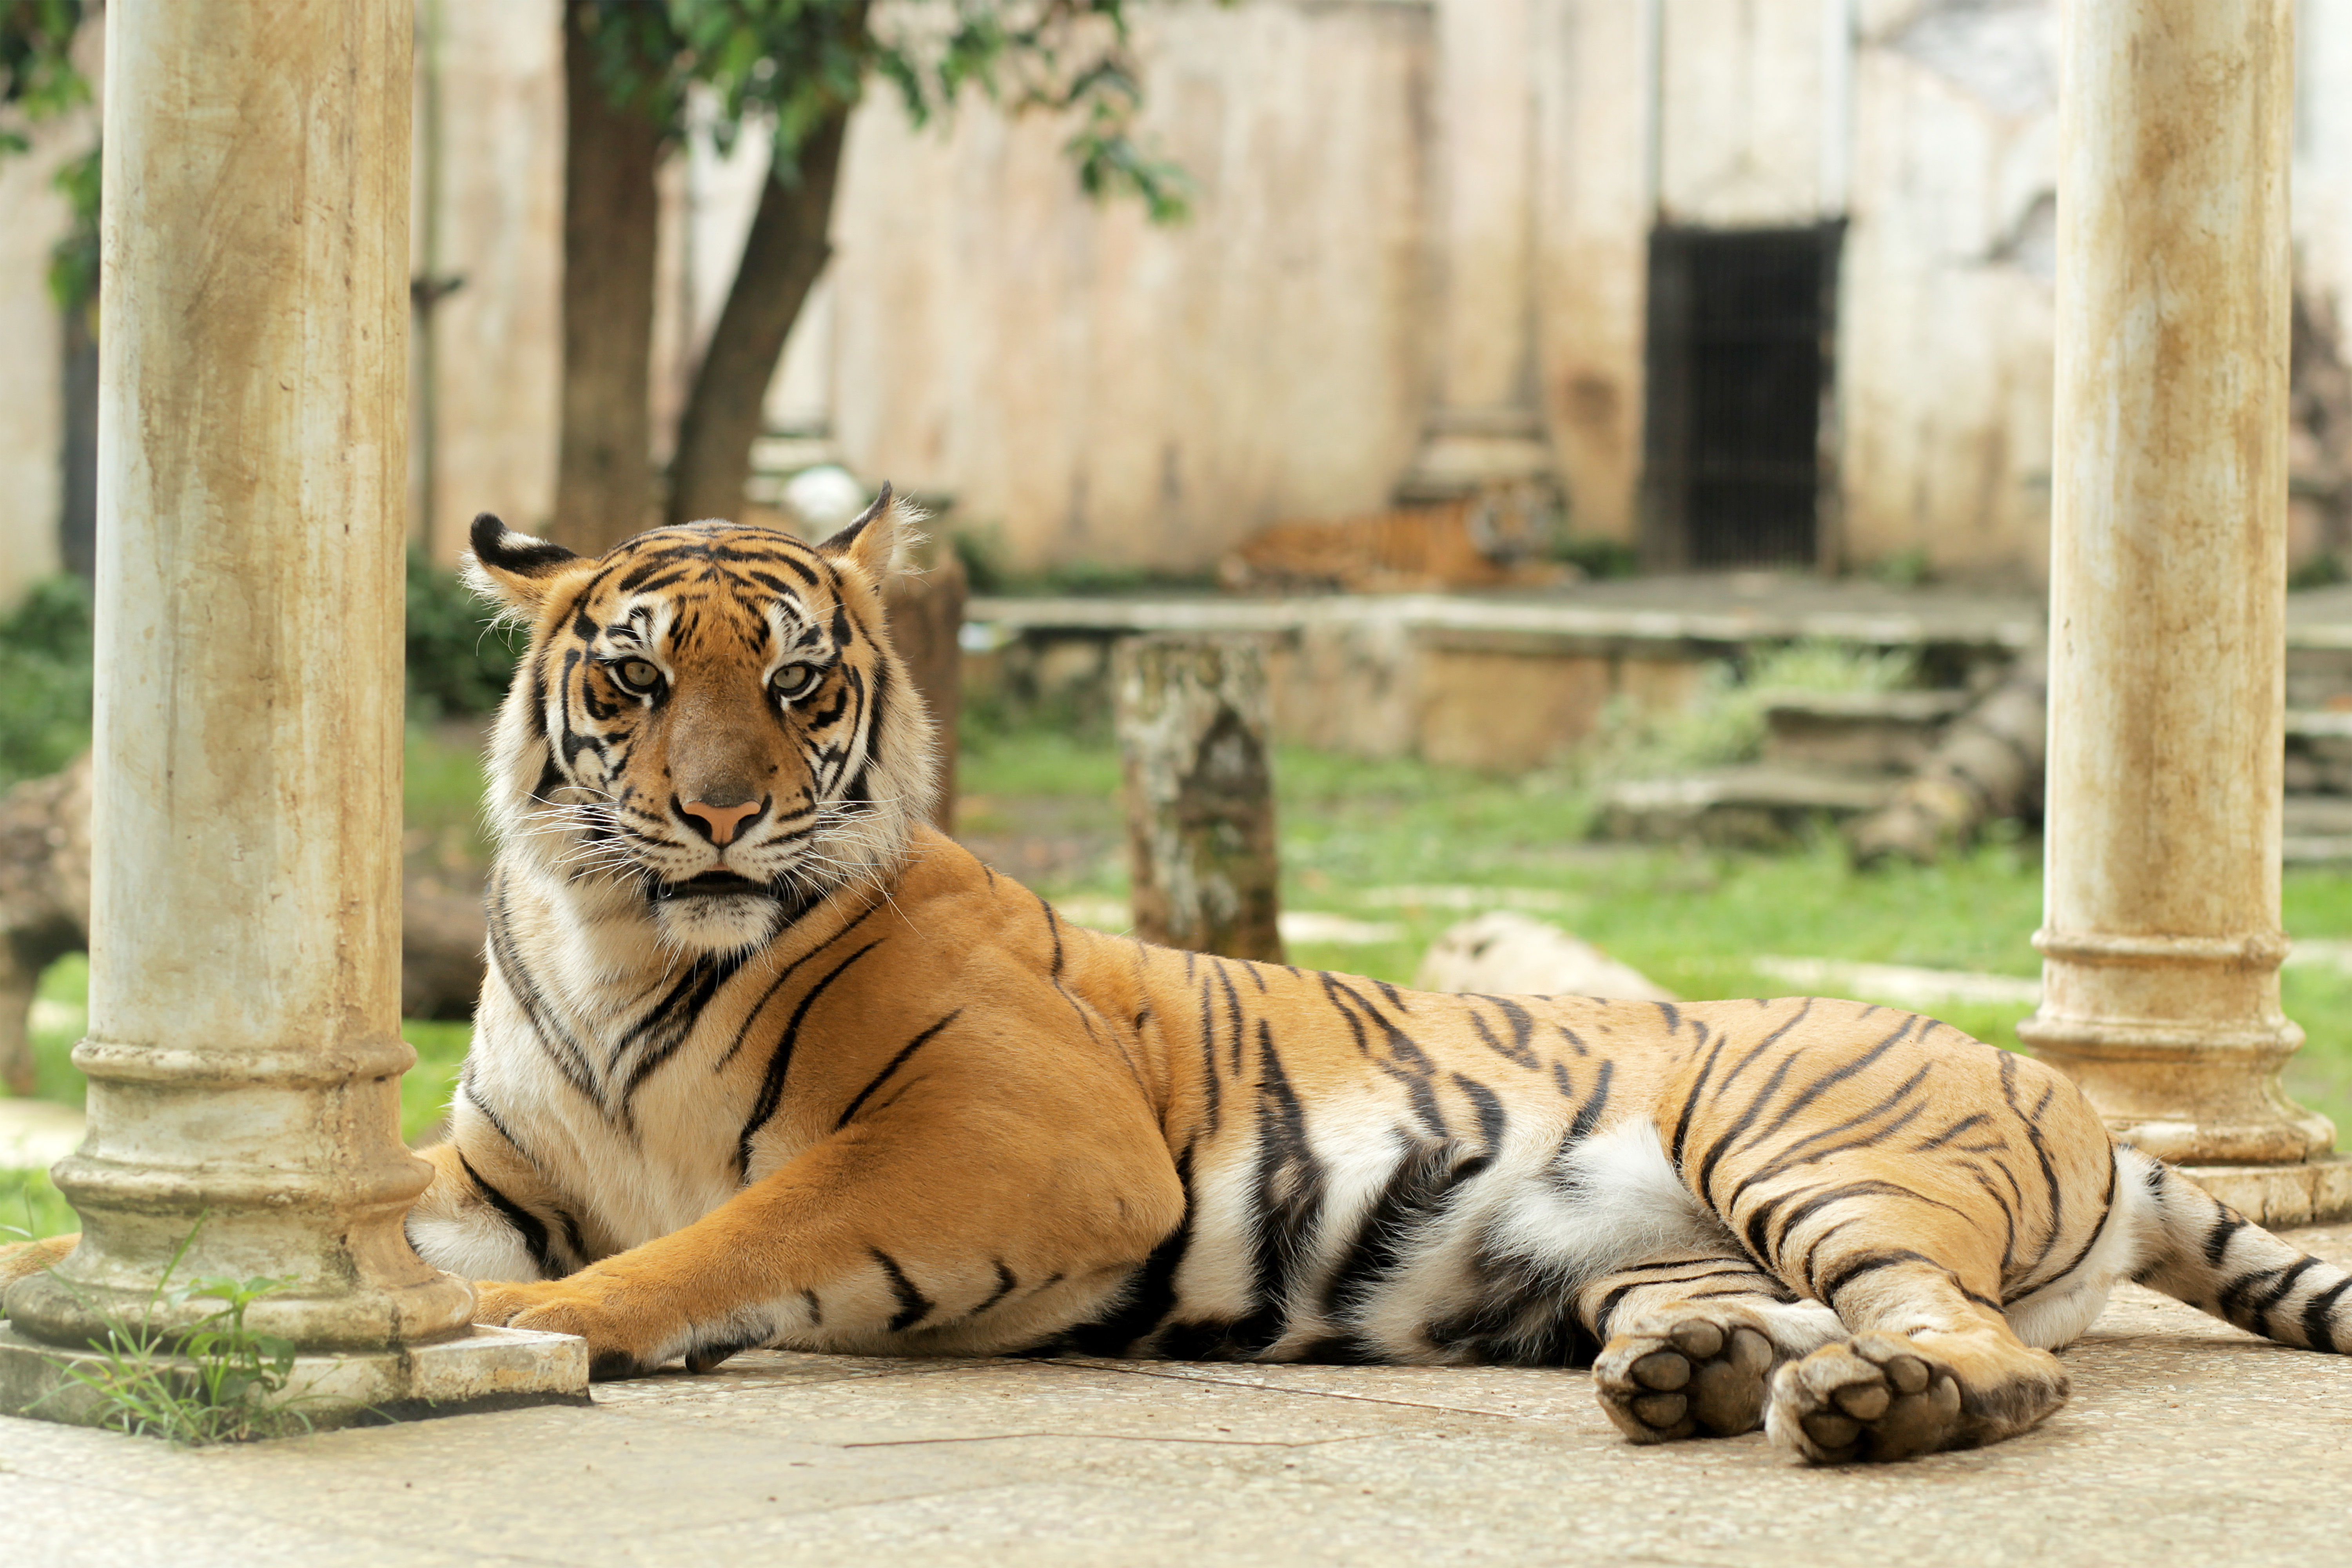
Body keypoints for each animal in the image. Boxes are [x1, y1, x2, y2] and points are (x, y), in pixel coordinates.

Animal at [4, 496, 2352, 1467]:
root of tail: (2086, 1104)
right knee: (1759, 1313)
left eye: (796, 681)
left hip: (1808, 1140)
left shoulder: (1018, 1138)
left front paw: (562, 1327)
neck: (614, 937)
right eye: (637, 678)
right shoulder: (486, 1169)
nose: (719, 817)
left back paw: (1866, 1414)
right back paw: (1690, 1378)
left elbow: (713, 1241)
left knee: (1987, 1355)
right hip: (1667, 1236)